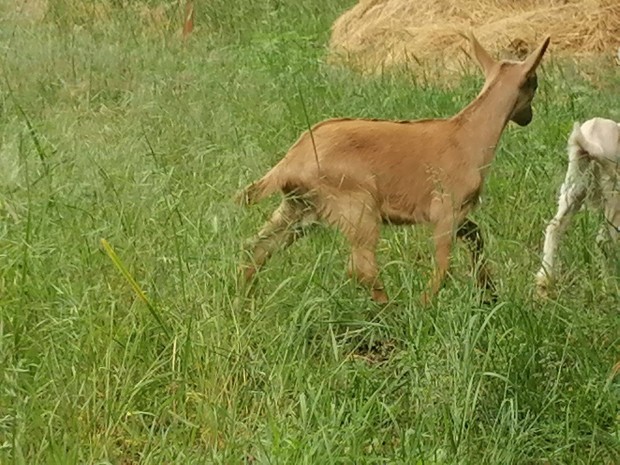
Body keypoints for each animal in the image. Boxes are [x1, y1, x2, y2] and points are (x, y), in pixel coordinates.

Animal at [237, 31, 552, 300]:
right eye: (534, 82)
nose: (528, 117)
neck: (468, 134)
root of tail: (289, 162)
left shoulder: (461, 213)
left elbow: (476, 237)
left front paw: (489, 292)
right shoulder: (446, 209)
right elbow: (443, 264)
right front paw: (427, 304)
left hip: (299, 208)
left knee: (256, 248)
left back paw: (245, 302)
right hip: (356, 206)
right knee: (361, 268)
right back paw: (393, 312)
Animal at [536, 117, 616, 294]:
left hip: (574, 186)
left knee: (554, 226)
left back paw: (545, 279)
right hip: (612, 193)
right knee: (604, 241)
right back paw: (610, 288)